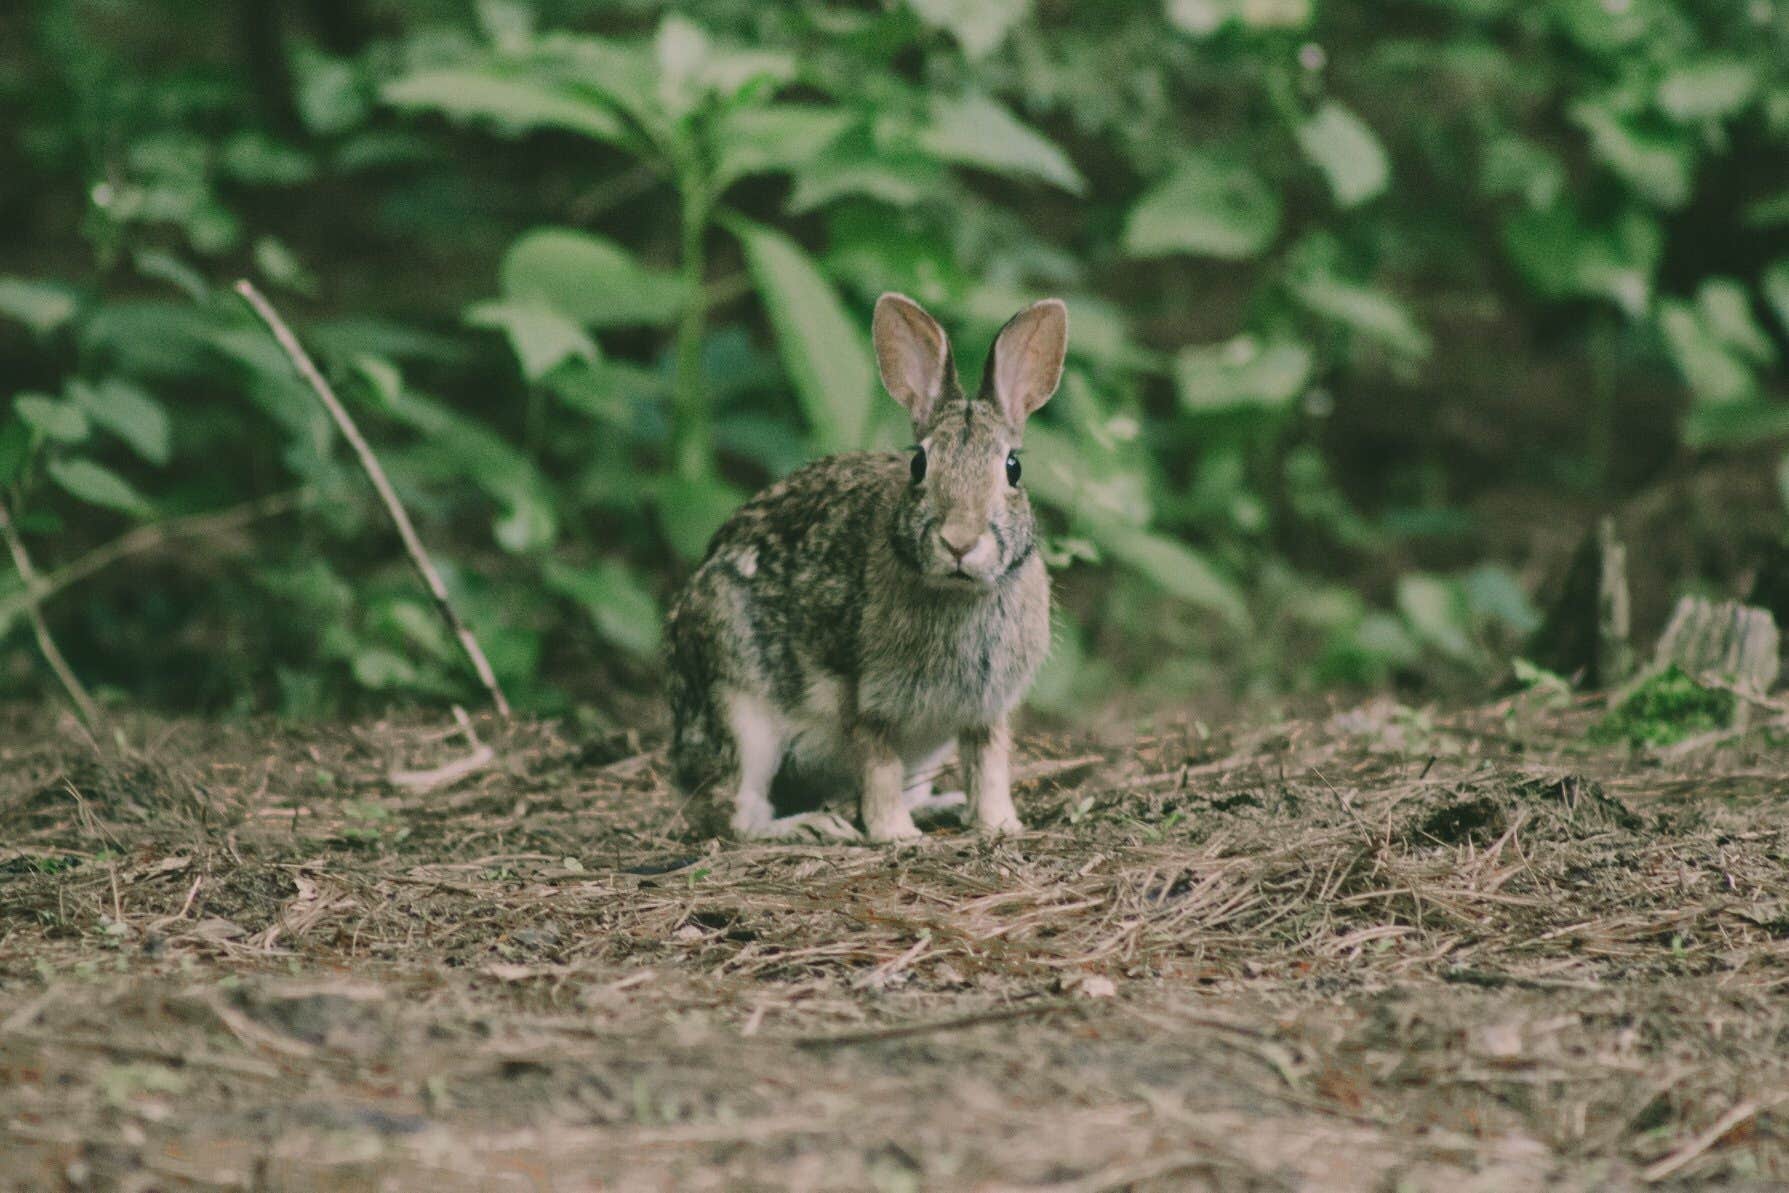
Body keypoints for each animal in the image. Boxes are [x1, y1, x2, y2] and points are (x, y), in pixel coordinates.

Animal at [669, 293, 1059, 844]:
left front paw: (1000, 824)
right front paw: (894, 834)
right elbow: (879, 768)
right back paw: (815, 827)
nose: (959, 541)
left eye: (1013, 468)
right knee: (740, 817)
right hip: (742, 710)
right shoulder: (863, 696)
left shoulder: (986, 711)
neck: (957, 592)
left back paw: (939, 807)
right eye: (919, 465)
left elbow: (988, 766)